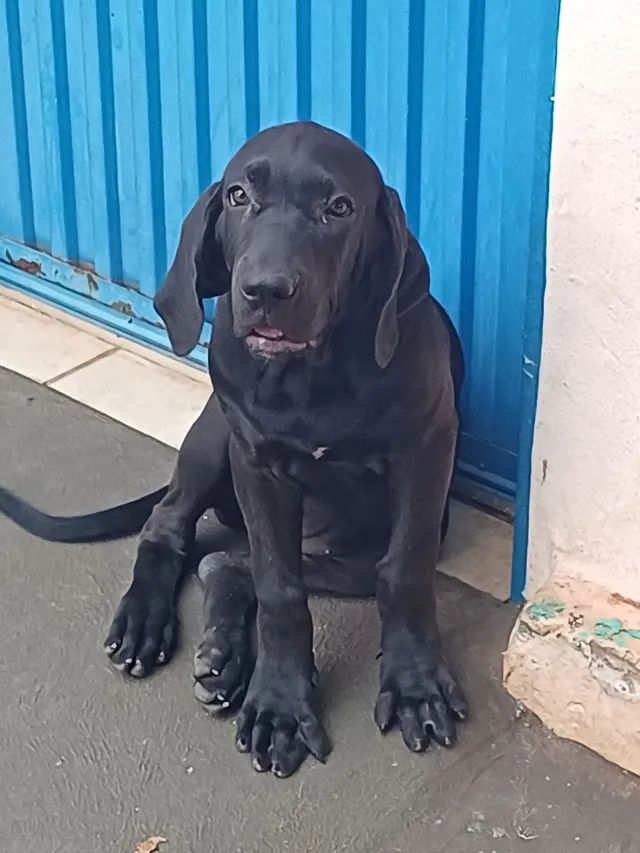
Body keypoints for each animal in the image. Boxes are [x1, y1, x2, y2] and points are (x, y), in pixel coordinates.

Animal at [1, 121, 470, 780]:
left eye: (339, 208)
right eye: (239, 196)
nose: (265, 289)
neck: (311, 375)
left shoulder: (427, 447)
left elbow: (403, 571)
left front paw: (415, 685)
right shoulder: (255, 462)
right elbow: (280, 591)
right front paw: (279, 704)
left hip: (348, 554)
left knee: (226, 560)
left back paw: (223, 655)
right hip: (214, 435)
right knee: (172, 526)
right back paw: (148, 622)